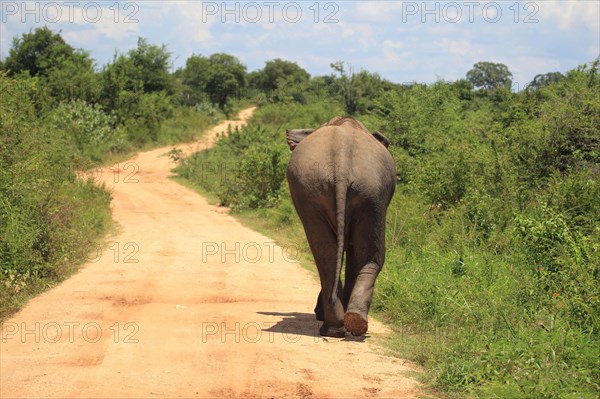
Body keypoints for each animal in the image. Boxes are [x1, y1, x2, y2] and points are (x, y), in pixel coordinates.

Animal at [284, 116, 396, 338]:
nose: (288, 133)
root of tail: (342, 158)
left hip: (360, 190)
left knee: (331, 253)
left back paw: (341, 324)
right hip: (365, 192)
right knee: (347, 253)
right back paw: (346, 324)